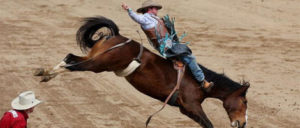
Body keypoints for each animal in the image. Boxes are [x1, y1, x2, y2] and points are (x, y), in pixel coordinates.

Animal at [35, 16, 250, 128]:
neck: (200, 83)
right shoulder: (191, 106)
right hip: (97, 65)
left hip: (94, 60)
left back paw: (45, 73)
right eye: (245, 102)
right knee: (71, 64)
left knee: (70, 57)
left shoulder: (186, 109)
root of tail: (116, 37)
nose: (242, 123)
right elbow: (209, 124)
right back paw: (45, 73)